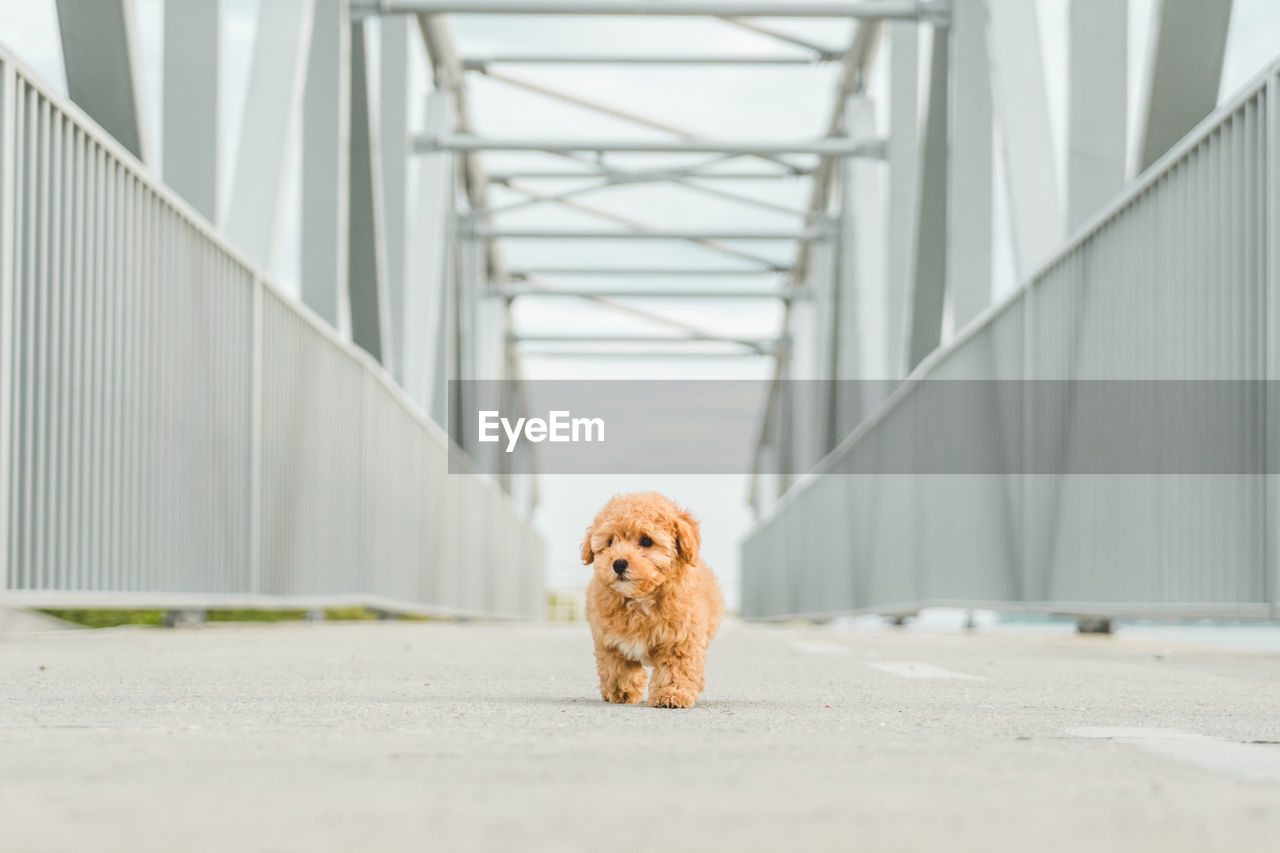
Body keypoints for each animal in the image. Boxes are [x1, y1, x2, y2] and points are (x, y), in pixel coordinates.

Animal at [586, 491, 727, 701]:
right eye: (610, 542)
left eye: (646, 541)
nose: (618, 564)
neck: (641, 597)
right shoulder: (609, 639)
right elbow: (617, 667)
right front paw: (622, 692)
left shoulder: (680, 638)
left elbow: (676, 668)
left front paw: (672, 694)